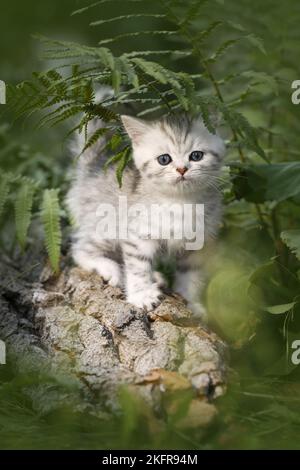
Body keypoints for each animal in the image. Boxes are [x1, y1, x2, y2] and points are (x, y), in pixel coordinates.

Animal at [66, 99, 225, 322]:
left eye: (196, 156)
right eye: (164, 159)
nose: (182, 169)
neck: (180, 201)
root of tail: (93, 169)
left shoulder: (197, 243)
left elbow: (191, 275)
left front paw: (192, 303)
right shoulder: (138, 235)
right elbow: (138, 267)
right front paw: (141, 295)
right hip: (105, 227)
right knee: (80, 249)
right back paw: (110, 268)